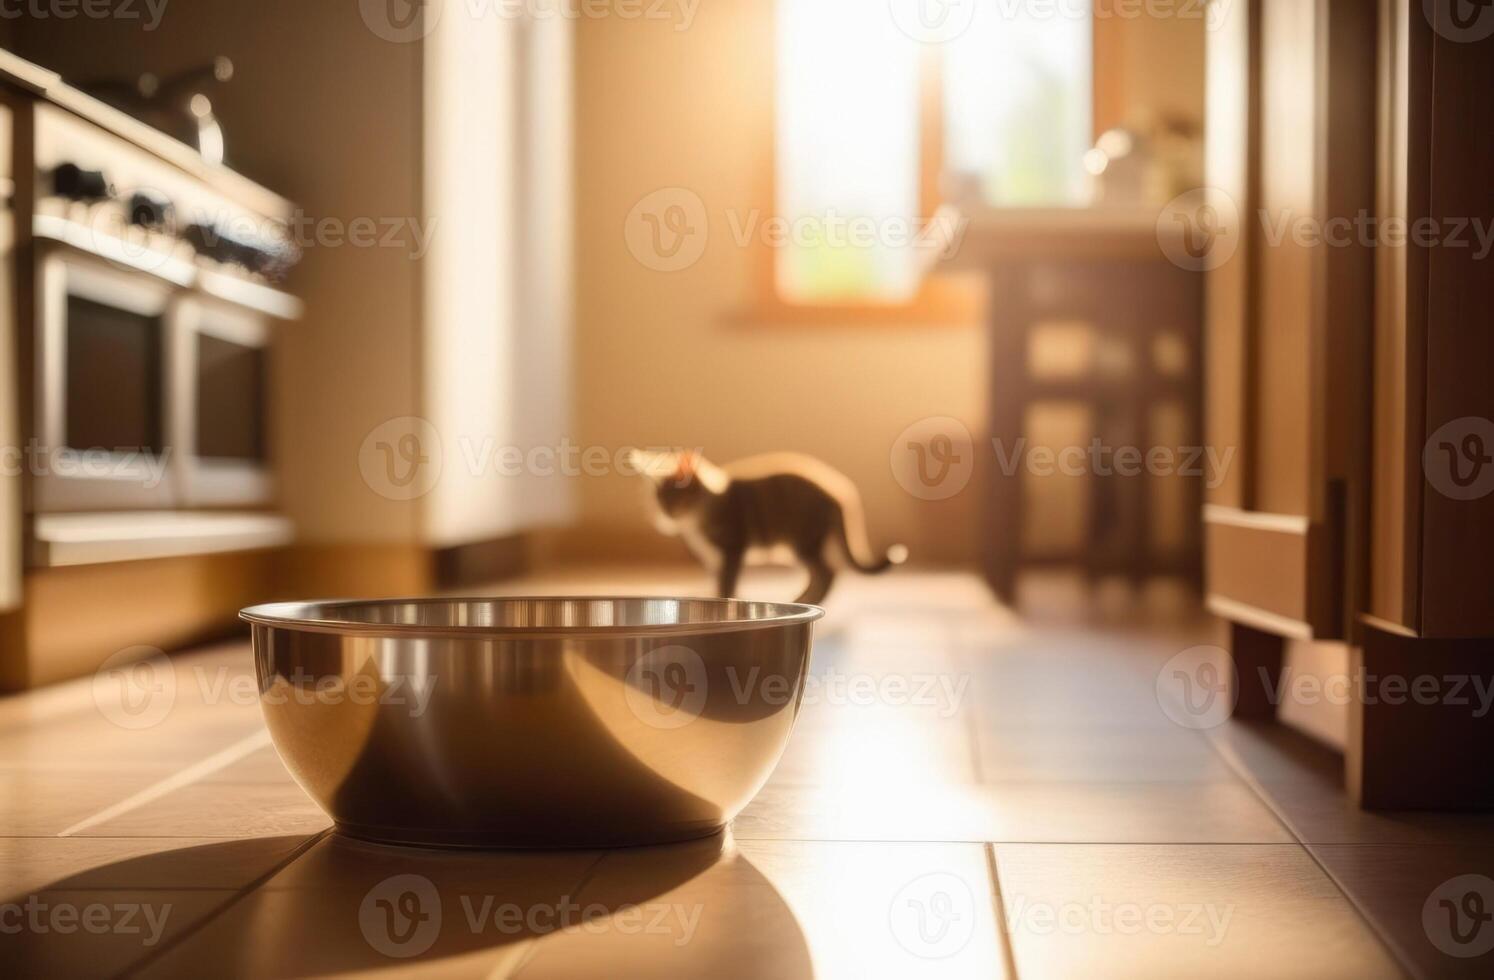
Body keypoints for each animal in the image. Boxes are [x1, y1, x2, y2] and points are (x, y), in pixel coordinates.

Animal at [633, 451, 908, 603]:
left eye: (674, 498)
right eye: (657, 500)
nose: (665, 514)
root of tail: (838, 491)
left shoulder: (733, 549)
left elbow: (726, 582)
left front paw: (724, 596)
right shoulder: (714, 558)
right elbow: (720, 581)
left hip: (802, 540)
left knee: (828, 572)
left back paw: (804, 600)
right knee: (821, 574)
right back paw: (803, 599)